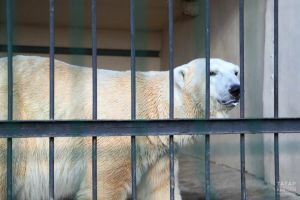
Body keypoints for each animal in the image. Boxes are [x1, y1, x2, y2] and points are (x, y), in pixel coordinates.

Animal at [0, 55, 239, 200]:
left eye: (236, 72)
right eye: (212, 73)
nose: (236, 89)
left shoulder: (157, 150)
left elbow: (159, 188)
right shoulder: (115, 140)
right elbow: (105, 184)